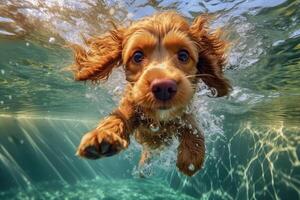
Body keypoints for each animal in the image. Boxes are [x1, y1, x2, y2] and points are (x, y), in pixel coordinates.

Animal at [71, 11, 231, 177]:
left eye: (183, 55)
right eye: (137, 56)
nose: (164, 87)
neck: (158, 118)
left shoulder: (187, 111)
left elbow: (193, 128)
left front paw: (191, 157)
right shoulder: (130, 104)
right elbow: (119, 116)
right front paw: (103, 134)